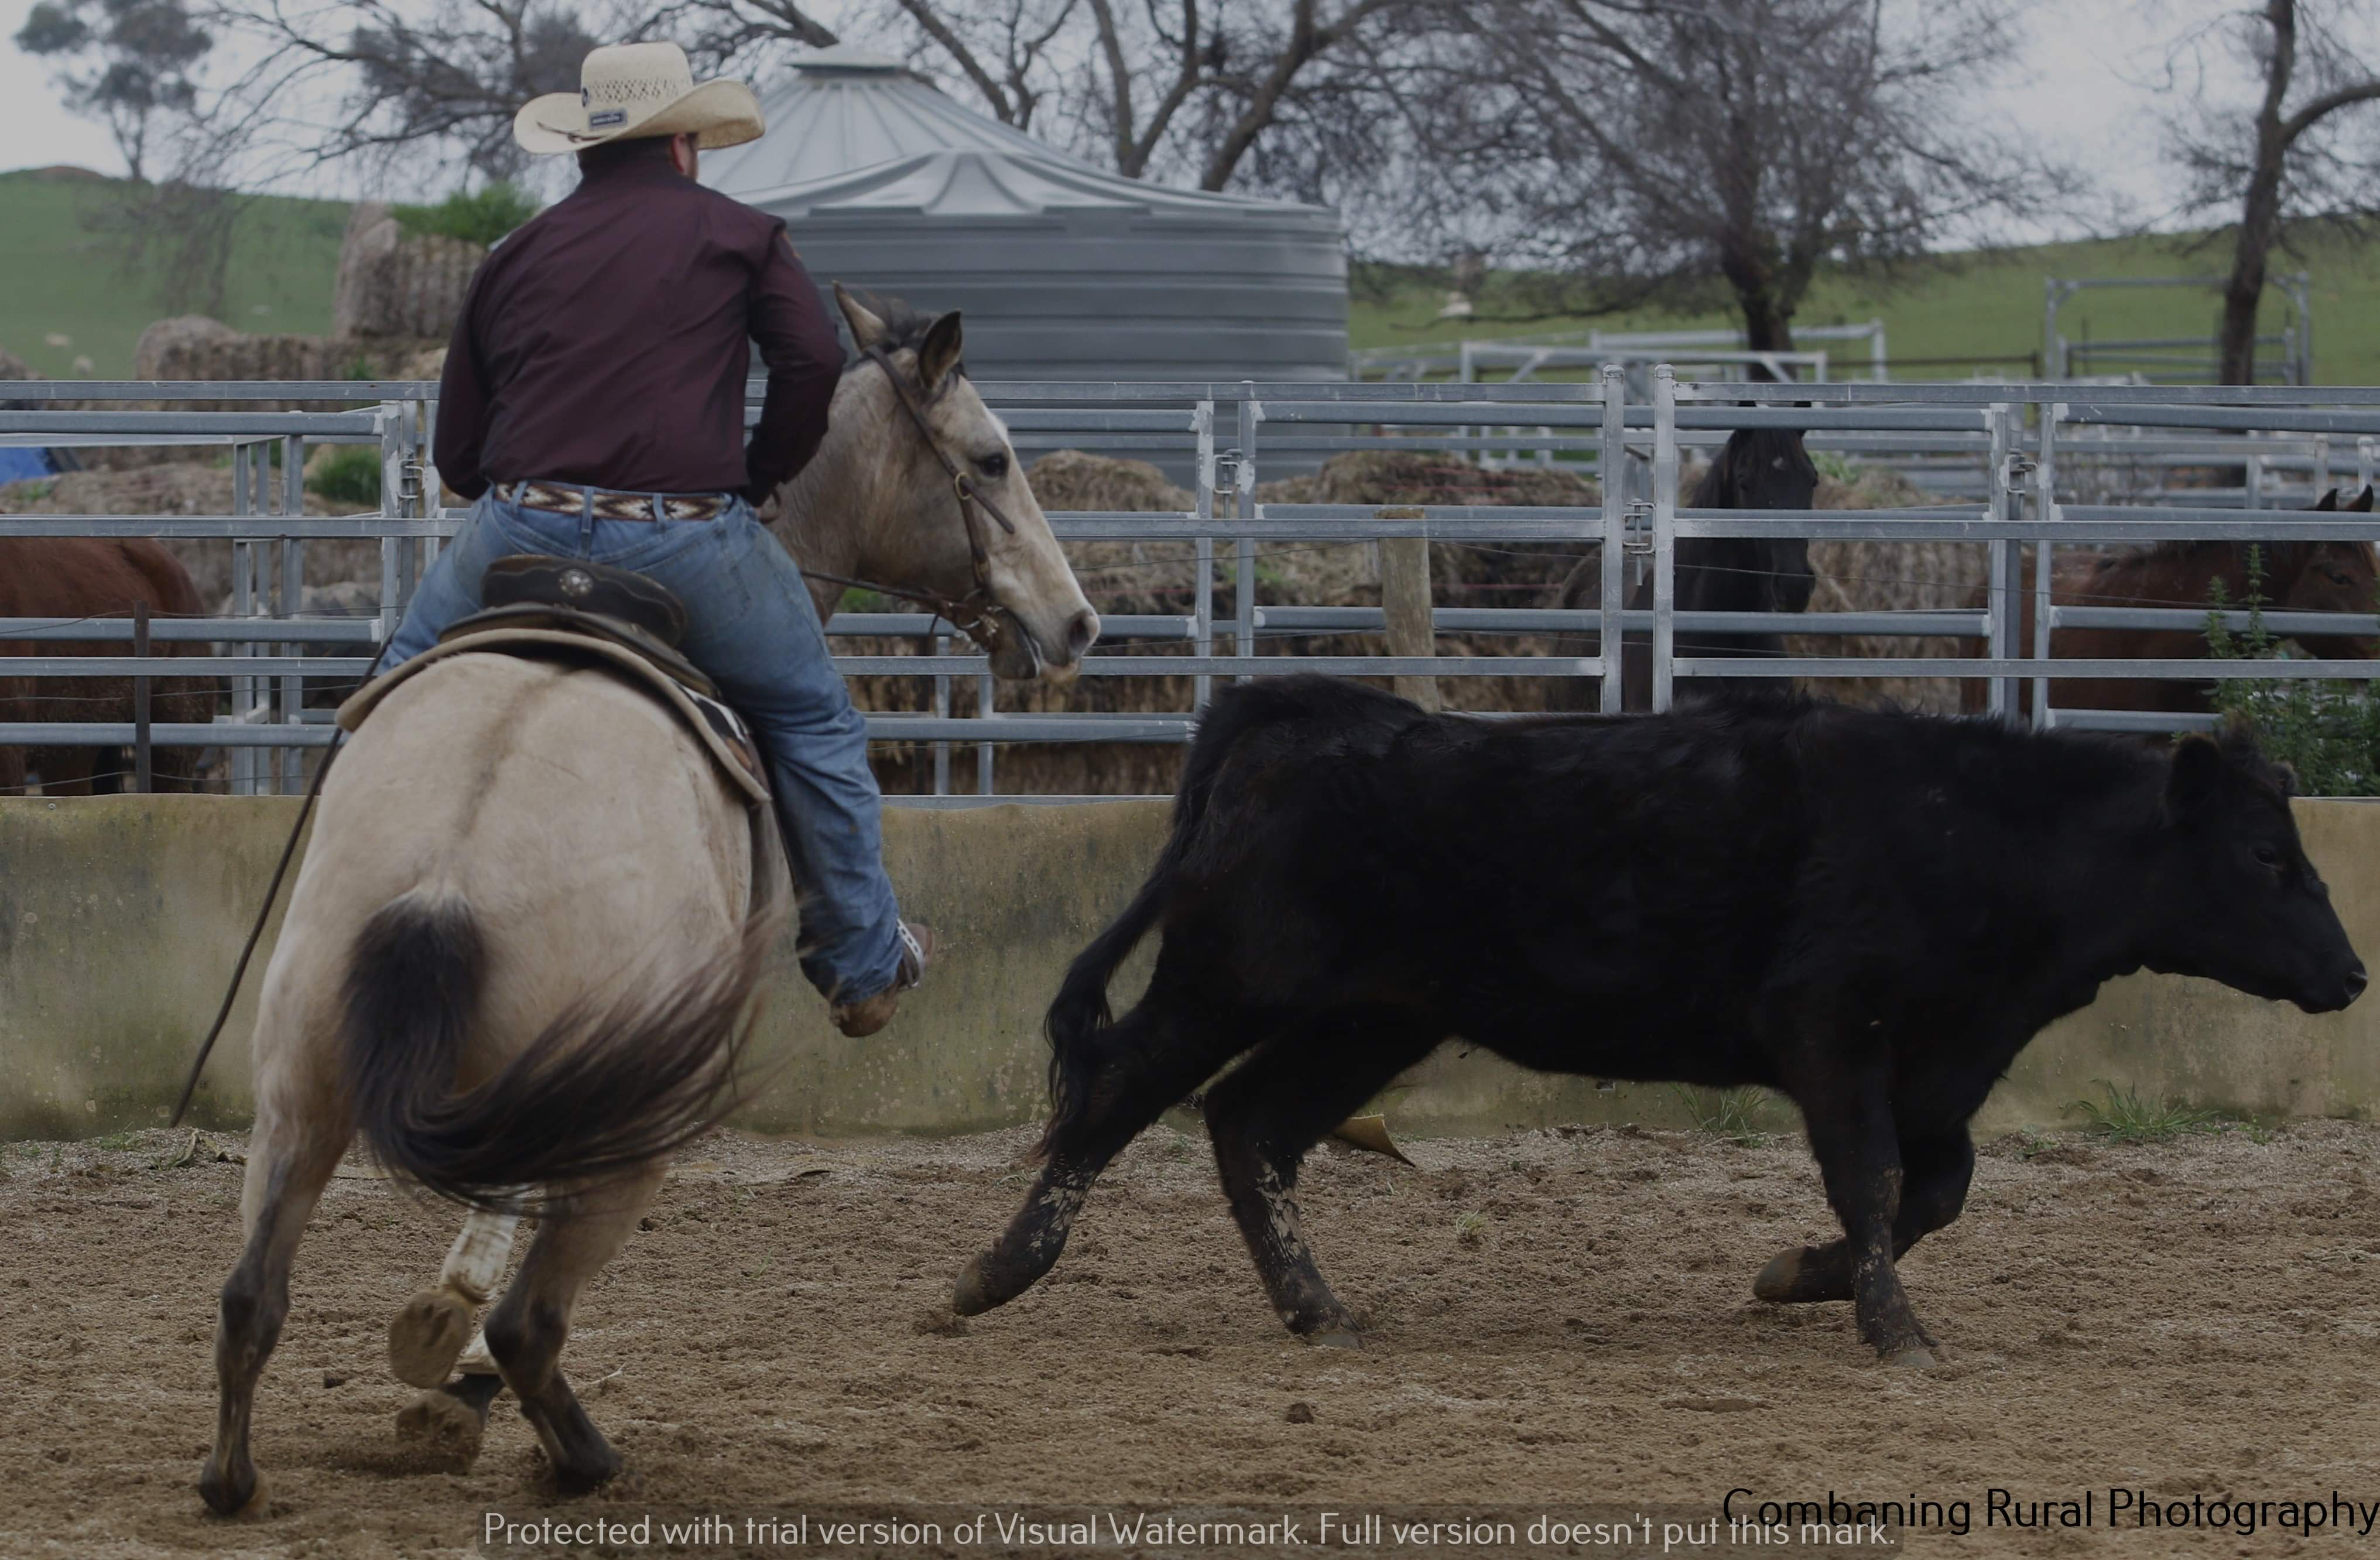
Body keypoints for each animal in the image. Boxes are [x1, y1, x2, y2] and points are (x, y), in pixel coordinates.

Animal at [198, 288, 1099, 1514]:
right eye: (992, 457)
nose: (1078, 622)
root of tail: (451, 863)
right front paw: (450, 1356)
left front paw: (438, 1350)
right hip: (625, 1115)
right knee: (533, 1319)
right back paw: (578, 1451)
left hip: (301, 1085)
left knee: (253, 1291)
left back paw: (233, 1476)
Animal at [953, 675, 2364, 1365]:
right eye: (2264, 854)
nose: (2352, 974)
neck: (1973, 828)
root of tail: (1294, 718)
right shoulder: (1829, 1034)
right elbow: (1877, 1182)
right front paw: (1895, 1329)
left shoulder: (1935, 1063)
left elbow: (1934, 1191)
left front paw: (1800, 1275)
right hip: (1225, 981)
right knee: (1115, 1093)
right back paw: (994, 1273)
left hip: (1371, 1018)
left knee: (1250, 1124)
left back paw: (1317, 1309)